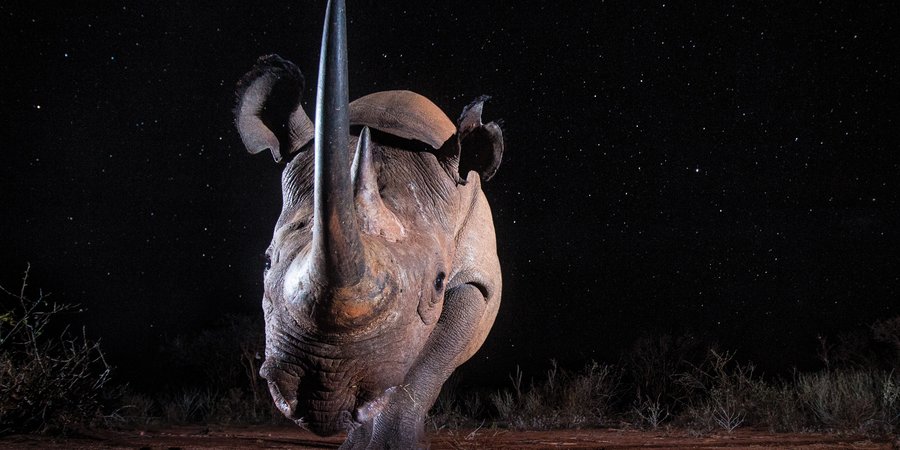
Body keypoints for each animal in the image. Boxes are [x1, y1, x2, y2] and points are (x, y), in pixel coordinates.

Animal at [232, 0, 504, 447]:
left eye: (439, 282)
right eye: (266, 261)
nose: (322, 391)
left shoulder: (478, 280)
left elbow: (426, 366)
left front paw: (392, 445)